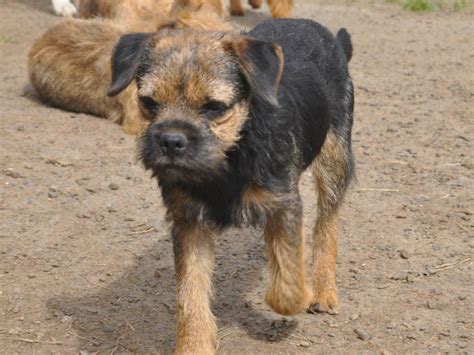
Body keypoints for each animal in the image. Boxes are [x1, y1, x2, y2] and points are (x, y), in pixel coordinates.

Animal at [105, 18, 354, 354]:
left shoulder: (283, 203)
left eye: (213, 107)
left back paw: (324, 289)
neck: (228, 161)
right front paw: (194, 345)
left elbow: (288, 280)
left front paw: (299, 295)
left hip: (334, 156)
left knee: (328, 221)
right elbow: (190, 292)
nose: (170, 140)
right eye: (148, 102)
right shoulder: (189, 223)